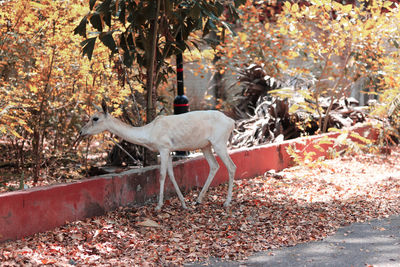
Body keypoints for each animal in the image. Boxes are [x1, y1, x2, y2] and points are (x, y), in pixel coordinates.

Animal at [79, 101, 236, 211]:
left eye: (95, 118)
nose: (81, 131)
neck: (149, 133)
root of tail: (232, 121)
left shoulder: (164, 148)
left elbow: (162, 175)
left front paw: (159, 206)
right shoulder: (170, 151)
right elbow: (171, 174)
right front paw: (184, 204)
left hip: (219, 143)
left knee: (231, 166)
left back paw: (226, 202)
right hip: (206, 146)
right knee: (214, 165)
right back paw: (198, 200)